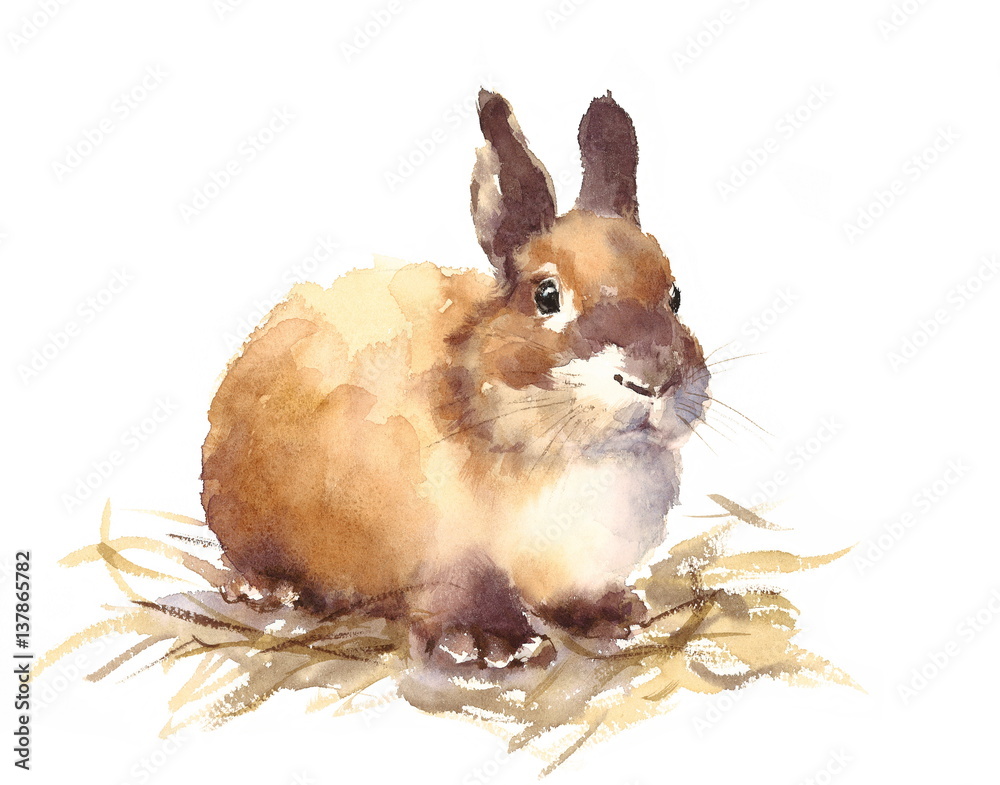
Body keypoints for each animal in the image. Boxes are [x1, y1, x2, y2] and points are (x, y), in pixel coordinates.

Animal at [201, 90, 710, 669]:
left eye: (674, 295)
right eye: (547, 296)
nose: (654, 381)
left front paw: (610, 615)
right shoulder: (444, 557)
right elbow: (465, 594)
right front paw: (496, 643)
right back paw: (266, 587)